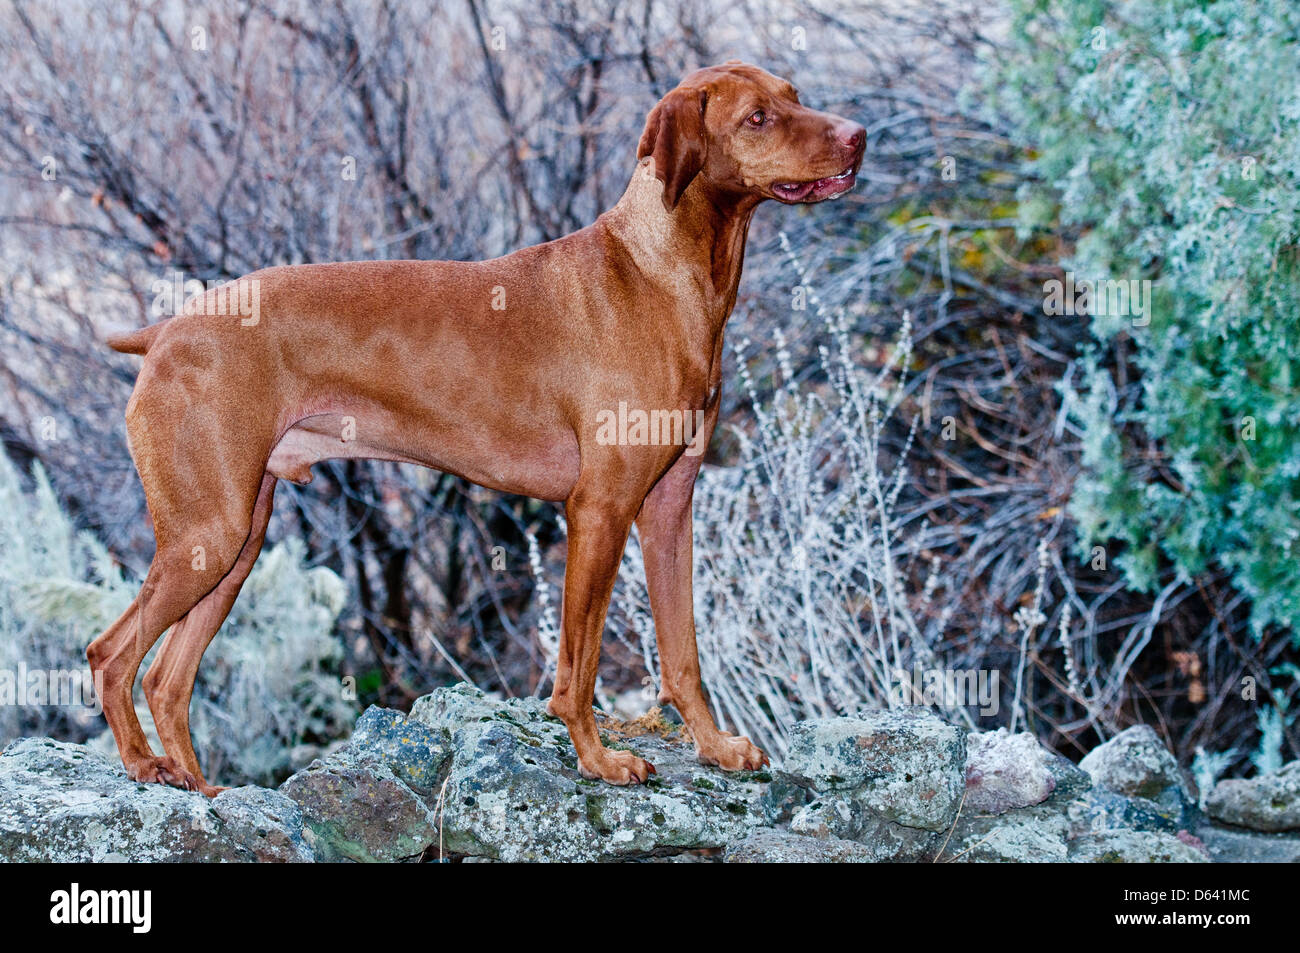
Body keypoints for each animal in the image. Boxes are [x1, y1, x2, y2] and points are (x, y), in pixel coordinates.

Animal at [91, 57, 863, 790]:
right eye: (759, 117)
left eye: (794, 95)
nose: (859, 135)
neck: (659, 271)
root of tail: (166, 330)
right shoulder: (600, 509)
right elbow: (577, 665)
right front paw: (598, 760)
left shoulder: (670, 506)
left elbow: (682, 653)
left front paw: (713, 747)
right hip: (209, 534)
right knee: (110, 653)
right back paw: (141, 766)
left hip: (239, 541)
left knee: (166, 680)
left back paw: (200, 789)